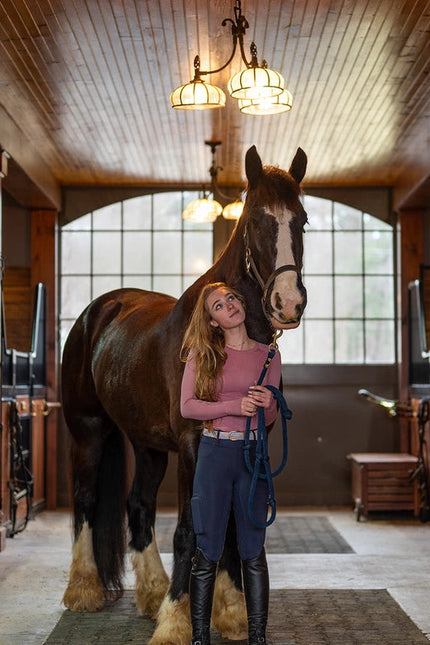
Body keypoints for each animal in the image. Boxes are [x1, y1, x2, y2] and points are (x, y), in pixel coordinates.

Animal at [61, 146, 310, 644]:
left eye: (304, 220)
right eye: (257, 219)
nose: (288, 303)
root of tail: (99, 310)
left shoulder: (248, 445)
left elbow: (231, 527)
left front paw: (230, 612)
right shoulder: (196, 444)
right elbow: (191, 529)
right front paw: (176, 622)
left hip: (148, 444)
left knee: (138, 506)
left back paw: (151, 594)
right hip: (88, 431)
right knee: (85, 501)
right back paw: (84, 590)